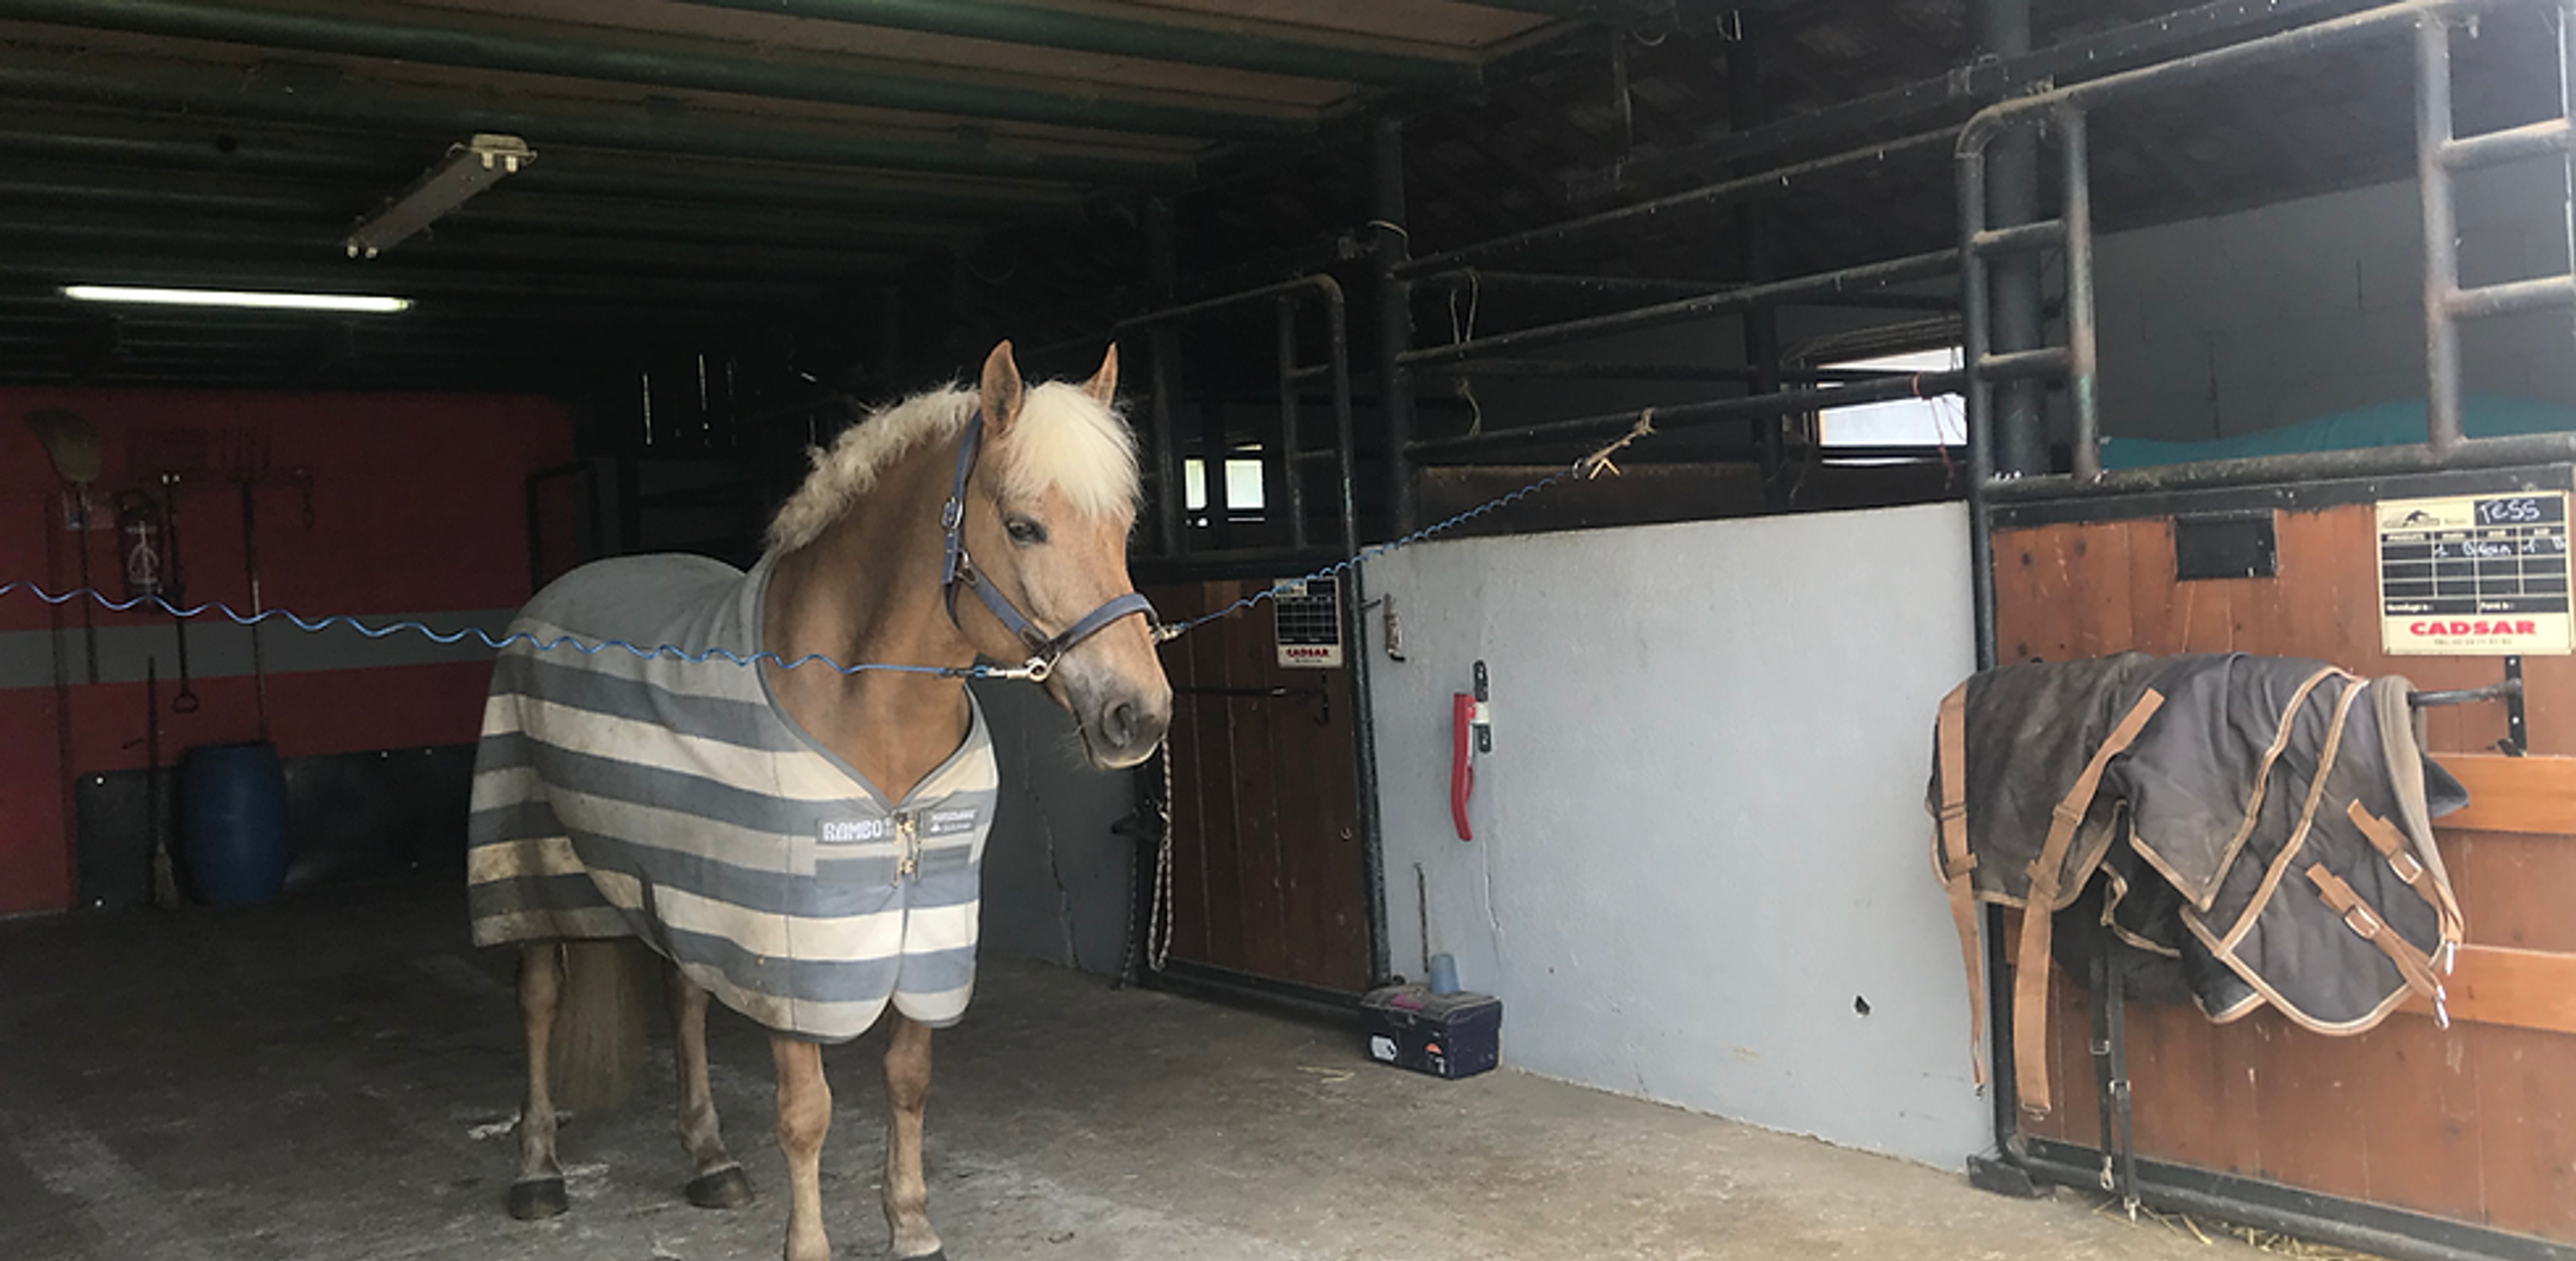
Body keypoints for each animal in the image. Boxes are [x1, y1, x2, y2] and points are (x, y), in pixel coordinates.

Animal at [464, 341, 1172, 1261]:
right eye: (1023, 526)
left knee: (685, 997)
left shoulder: (927, 919)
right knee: (539, 999)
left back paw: (711, 1160)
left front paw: (911, 1222)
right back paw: (538, 1170)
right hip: (532, 865)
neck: (858, 698)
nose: (1138, 715)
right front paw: (810, 1244)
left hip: (679, 881)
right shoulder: (794, 944)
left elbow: (908, 1077)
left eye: (1122, 526)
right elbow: (806, 1113)